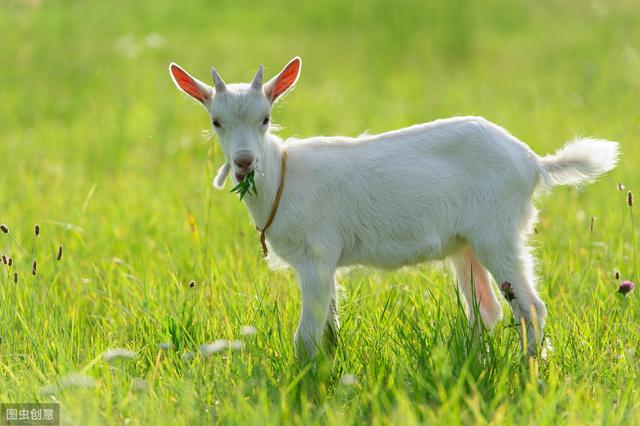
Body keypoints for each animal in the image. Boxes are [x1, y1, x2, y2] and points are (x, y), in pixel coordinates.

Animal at [170, 56, 620, 356]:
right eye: (216, 121)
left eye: (265, 118)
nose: (245, 162)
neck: (282, 175)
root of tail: (532, 163)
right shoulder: (323, 263)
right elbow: (329, 329)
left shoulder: (316, 255)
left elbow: (306, 336)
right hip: (466, 245)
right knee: (487, 310)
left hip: (499, 232)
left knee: (530, 308)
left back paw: (530, 373)